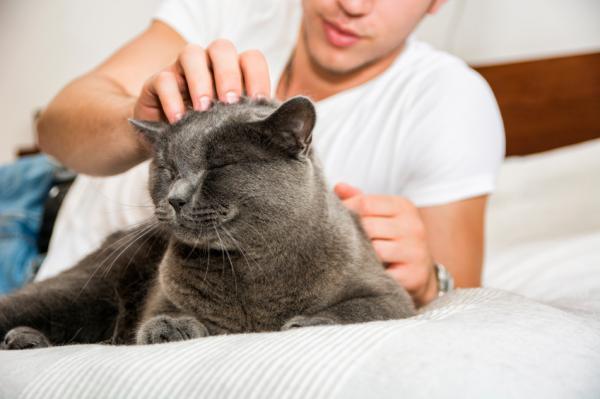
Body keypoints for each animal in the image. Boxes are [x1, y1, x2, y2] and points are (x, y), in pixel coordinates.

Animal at [0, 97, 412, 350]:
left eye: (219, 166)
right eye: (167, 169)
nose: (175, 197)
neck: (252, 265)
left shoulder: (391, 294)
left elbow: (357, 311)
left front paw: (304, 323)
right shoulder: (161, 296)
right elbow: (160, 318)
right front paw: (172, 328)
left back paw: (25, 339)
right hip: (82, 288)